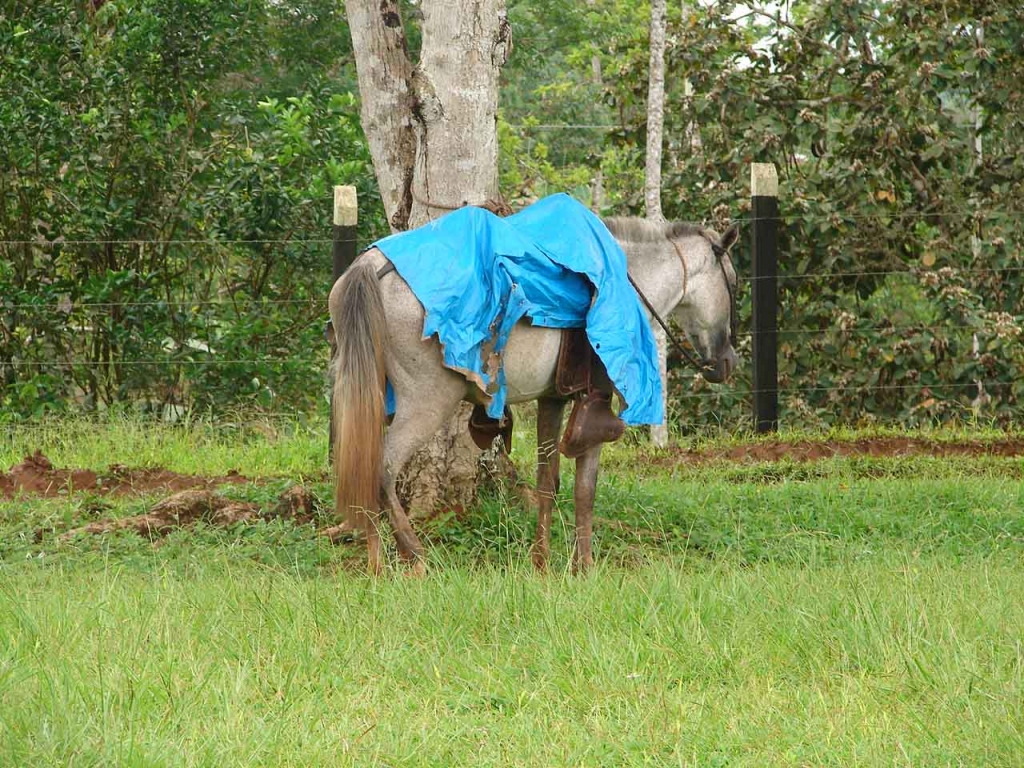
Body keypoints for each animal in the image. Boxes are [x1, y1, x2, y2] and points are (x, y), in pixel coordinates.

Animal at [331, 217, 741, 577]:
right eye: (734, 283)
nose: (727, 362)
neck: (626, 279)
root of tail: (369, 266)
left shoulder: (553, 400)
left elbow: (548, 482)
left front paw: (541, 562)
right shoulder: (594, 409)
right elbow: (584, 490)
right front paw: (583, 567)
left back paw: (377, 562)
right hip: (427, 402)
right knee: (382, 468)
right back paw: (412, 556)